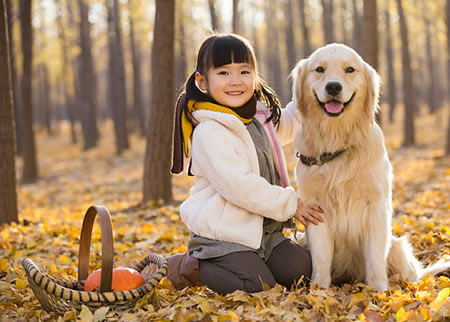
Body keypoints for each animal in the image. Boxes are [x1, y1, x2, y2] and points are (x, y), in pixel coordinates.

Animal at [290, 43, 448, 292]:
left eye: (350, 69)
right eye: (319, 69)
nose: (333, 86)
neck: (337, 142)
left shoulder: (375, 205)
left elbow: (375, 255)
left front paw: (379, 291)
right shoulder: (316, 208)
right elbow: (321, 258)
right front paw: (319, 291)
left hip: (397, 246)